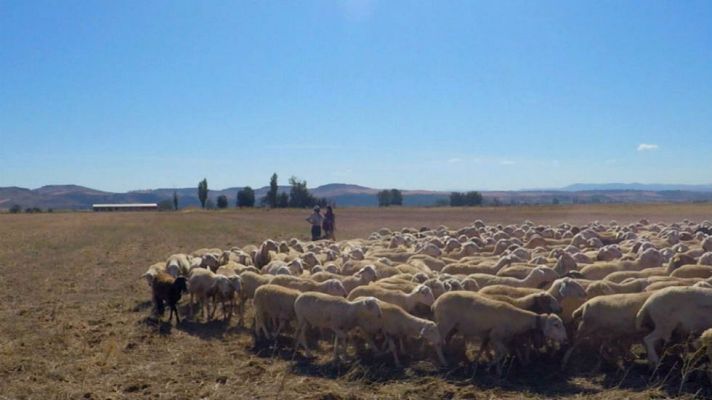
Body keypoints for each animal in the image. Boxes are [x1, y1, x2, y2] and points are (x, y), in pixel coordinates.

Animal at [433, 291, 567, 374]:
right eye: (556, 325)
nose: (565, 339)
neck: (516, 317)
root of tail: (436, 302)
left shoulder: (498, 338)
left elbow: (498, 353)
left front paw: (497, 370)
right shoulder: (495, 336)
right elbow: (503, 352)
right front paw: (490, 367)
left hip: (453, 326)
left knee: (446, 339)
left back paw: (450, 355)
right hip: (445, 323)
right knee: (438, 342)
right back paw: (444, 362)